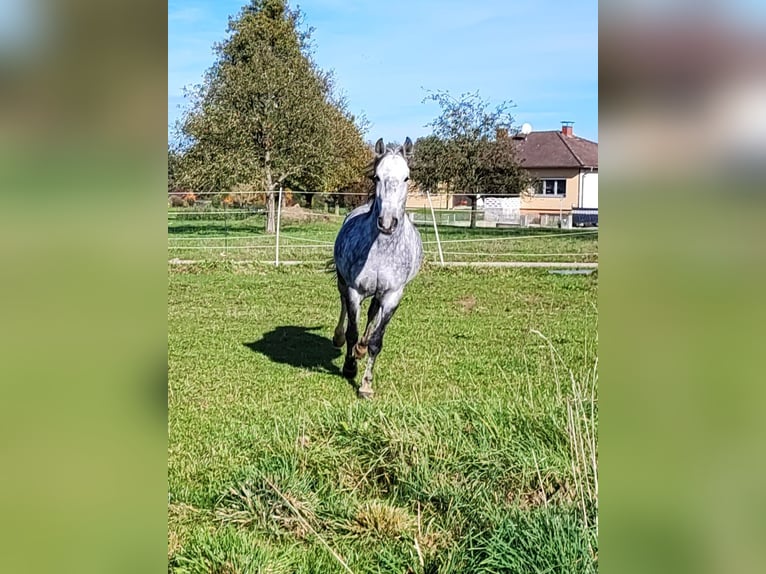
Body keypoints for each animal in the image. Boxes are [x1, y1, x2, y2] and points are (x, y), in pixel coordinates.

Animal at [332, 137, 423, 399]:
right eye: (376, 177)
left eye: (407, 177)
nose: (387, 222)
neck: (382, 249)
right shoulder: (355, 290)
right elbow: (352, 330)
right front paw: (350, 367)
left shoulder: (393, 295)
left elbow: (376, 340)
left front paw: (366, 384)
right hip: (343, 282)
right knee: (344, 306)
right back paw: (338, 338)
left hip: (379, 293)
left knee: (372, 314)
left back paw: (361, 348)